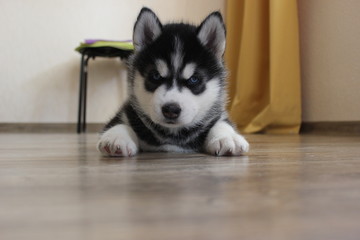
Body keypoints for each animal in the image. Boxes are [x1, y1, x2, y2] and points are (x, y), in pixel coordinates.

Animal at [98, 7, 250, 157]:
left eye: (194, 79)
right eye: (155, 76)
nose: (171, 110)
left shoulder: (216, 115)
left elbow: (221, 122)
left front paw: (226, 137)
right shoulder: (128, 111)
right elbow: (121, 122)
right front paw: (117, 136)